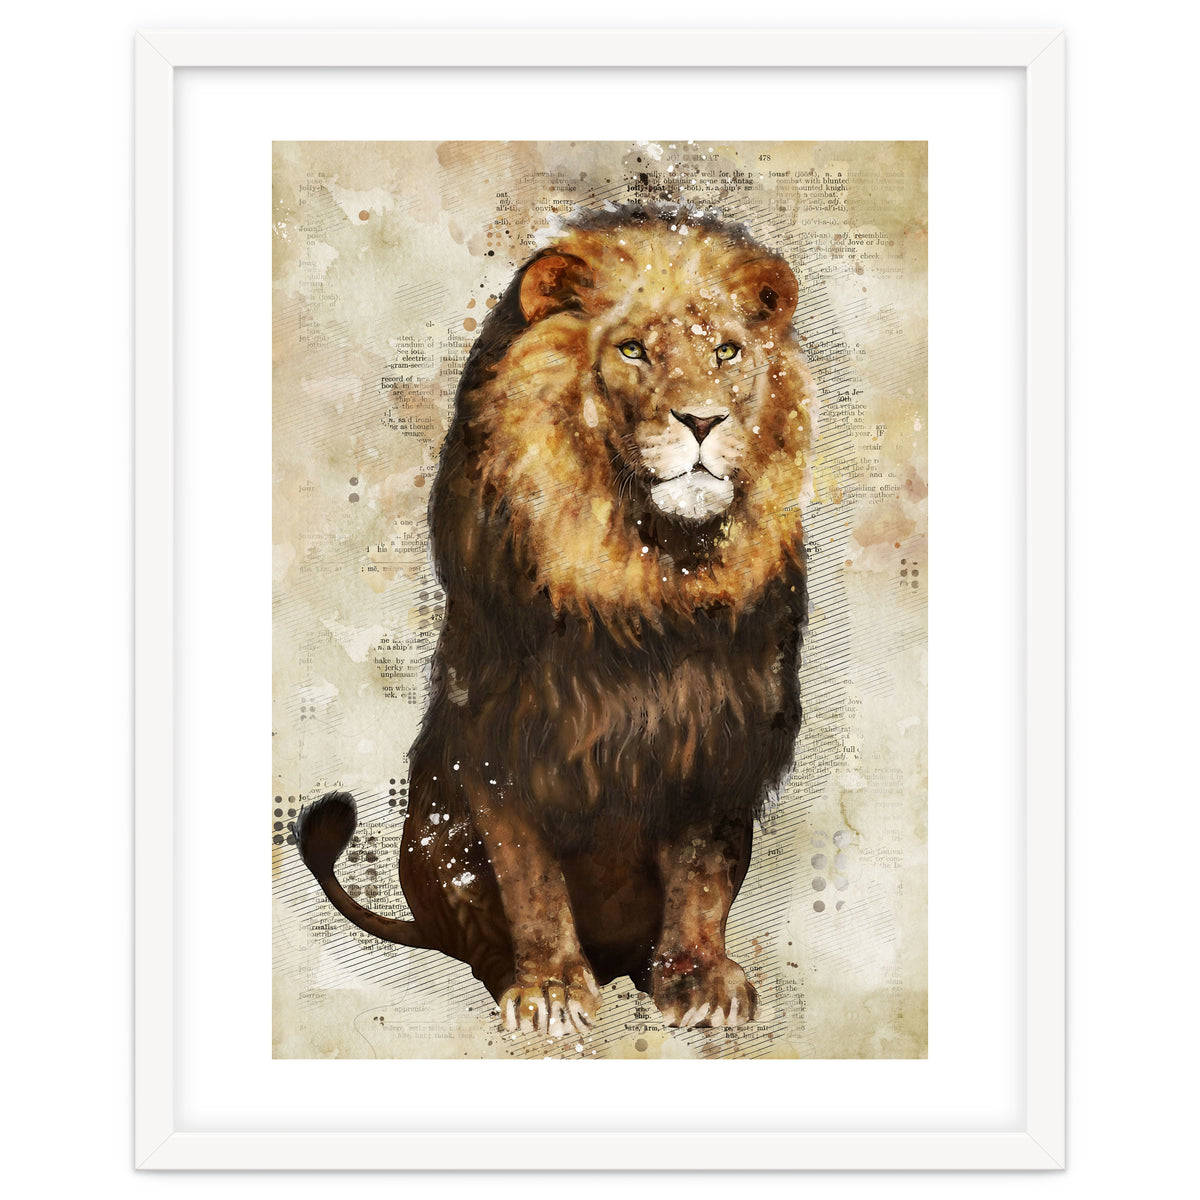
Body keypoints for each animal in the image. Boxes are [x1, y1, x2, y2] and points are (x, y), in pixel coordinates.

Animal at [296, 203, 815, 1038]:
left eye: (728, 350)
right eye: (633, 349)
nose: (705, 420)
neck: (648, 585)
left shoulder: (718, 734)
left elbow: (700, 876)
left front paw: (698, 979)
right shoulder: (503, 734)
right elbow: (529, 877)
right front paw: (550, 990)